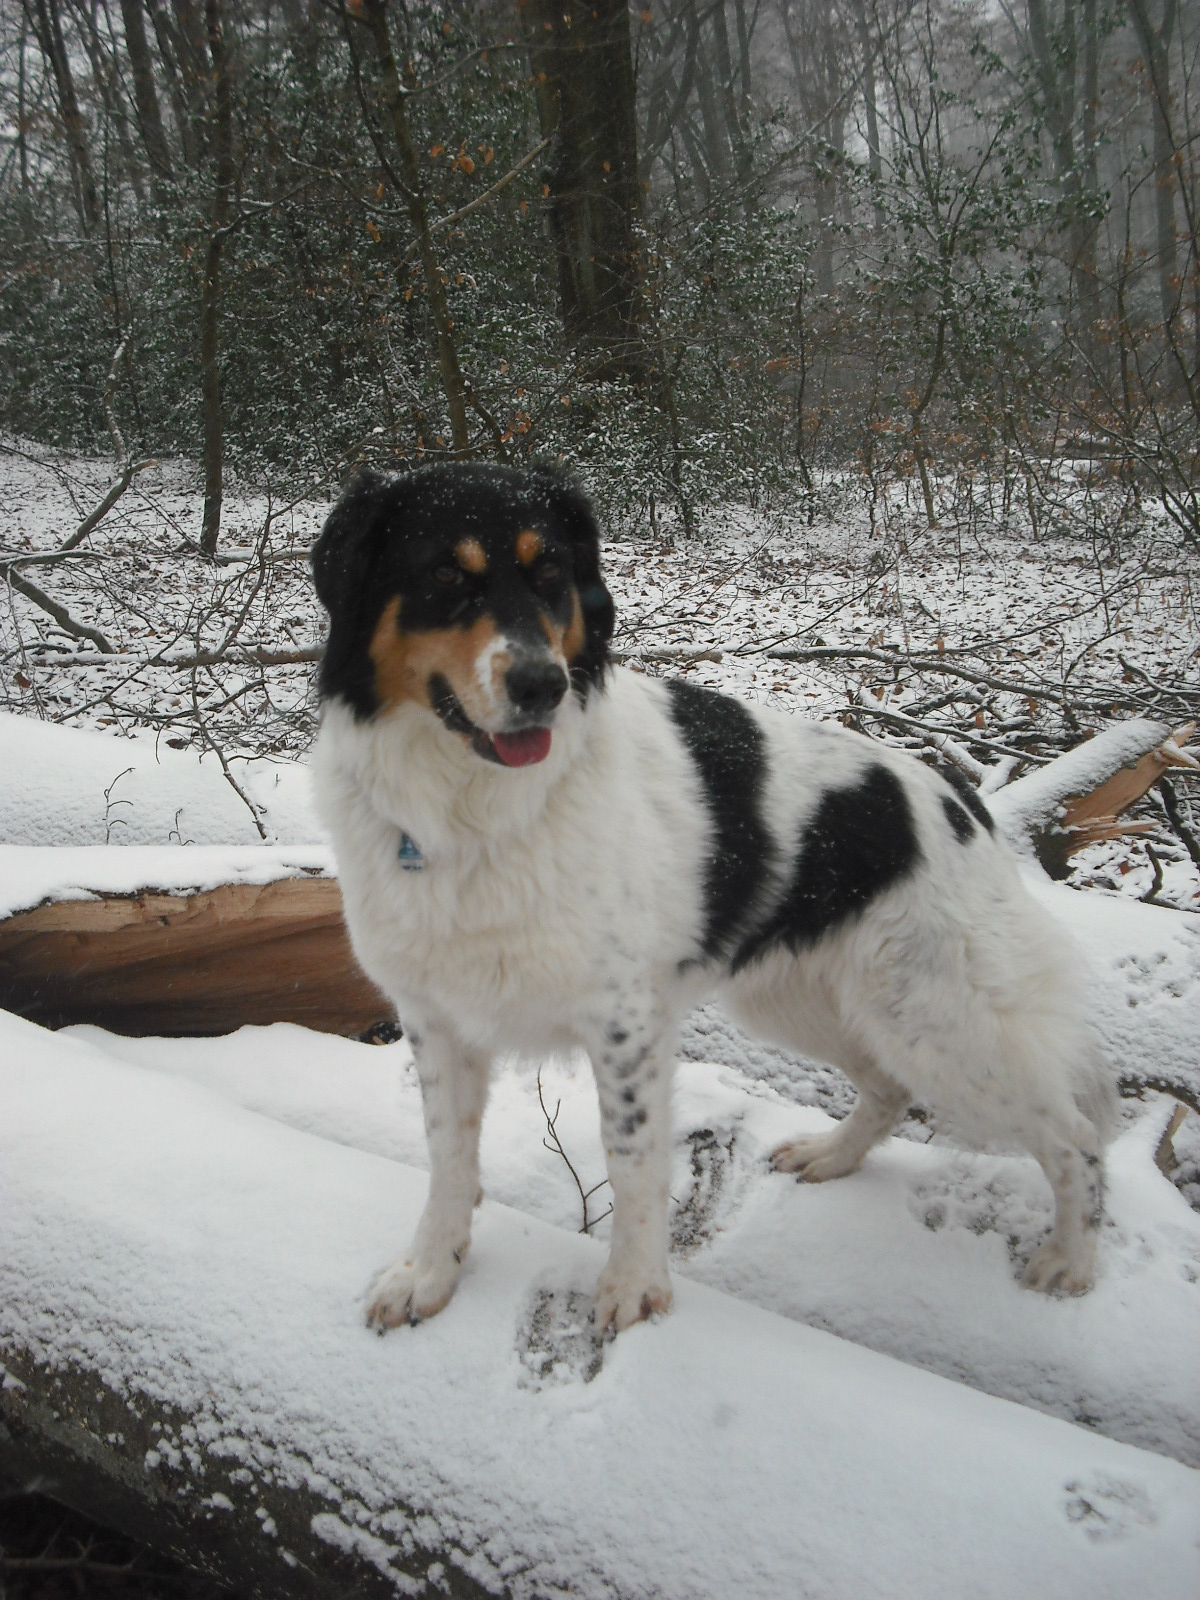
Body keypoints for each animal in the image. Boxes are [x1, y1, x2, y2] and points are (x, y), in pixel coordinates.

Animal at [312, 467, 1120, 1337]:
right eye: (444, 577)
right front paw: (430, 1273)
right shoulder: (438, 1020)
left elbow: (632, 1161)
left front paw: (635, 1287)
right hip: (811, 1002)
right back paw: (832, 1157)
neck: (471, 808)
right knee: (889, 1088)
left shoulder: (625, 1024)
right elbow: (448, 1162)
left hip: (943, 1025)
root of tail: (963, 800)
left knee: (1075, 1136)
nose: (542, 686)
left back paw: (1074, 1260)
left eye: (551, 572)